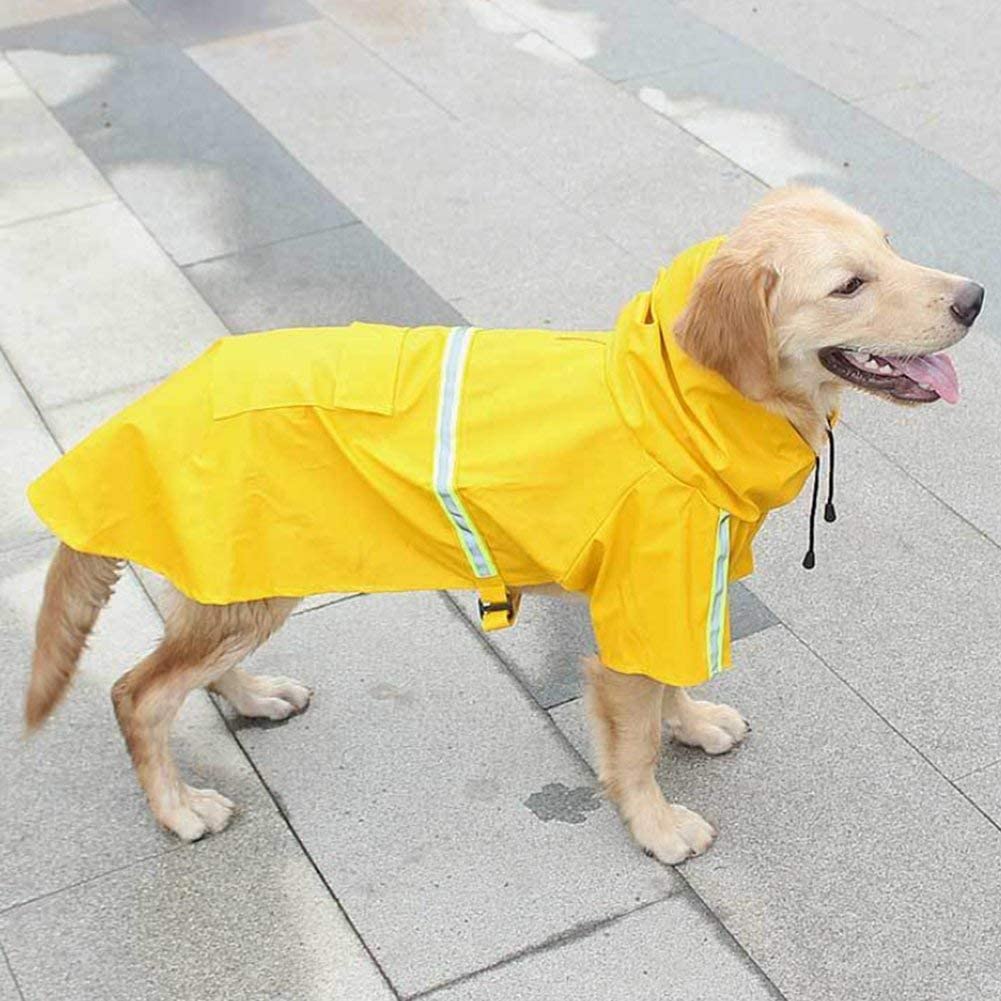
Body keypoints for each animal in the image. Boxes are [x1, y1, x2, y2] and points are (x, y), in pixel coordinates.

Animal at [19, 188, 980, 860]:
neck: (675, 404)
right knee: (138, 693)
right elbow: (632, 739)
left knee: (191, 667)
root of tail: (145, 407)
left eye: (890, 246)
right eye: (849, 283)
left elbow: (669, 686)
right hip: (244, 584)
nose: (973, 295)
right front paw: (657, 825)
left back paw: (254, 696)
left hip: (248, 571)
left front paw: (693, 721)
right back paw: (179, 807)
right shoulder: (643, 596)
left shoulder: (670, 594)